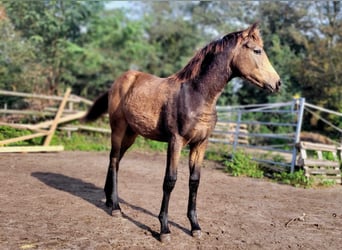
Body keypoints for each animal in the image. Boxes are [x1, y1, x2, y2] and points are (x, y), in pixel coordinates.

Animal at [85, 23, 280, 242]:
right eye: (257, 50)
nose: (278, 83)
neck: (195, 95)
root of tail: (120, 80)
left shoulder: (200, 144)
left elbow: (194, 181)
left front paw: (195, 227)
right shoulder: (175, 142)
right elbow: (170, 180)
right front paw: (164, 229)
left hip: (131, 134)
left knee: (116, 161)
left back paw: (109, 201)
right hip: (118, 129)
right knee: (114, 161)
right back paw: (116, 208)